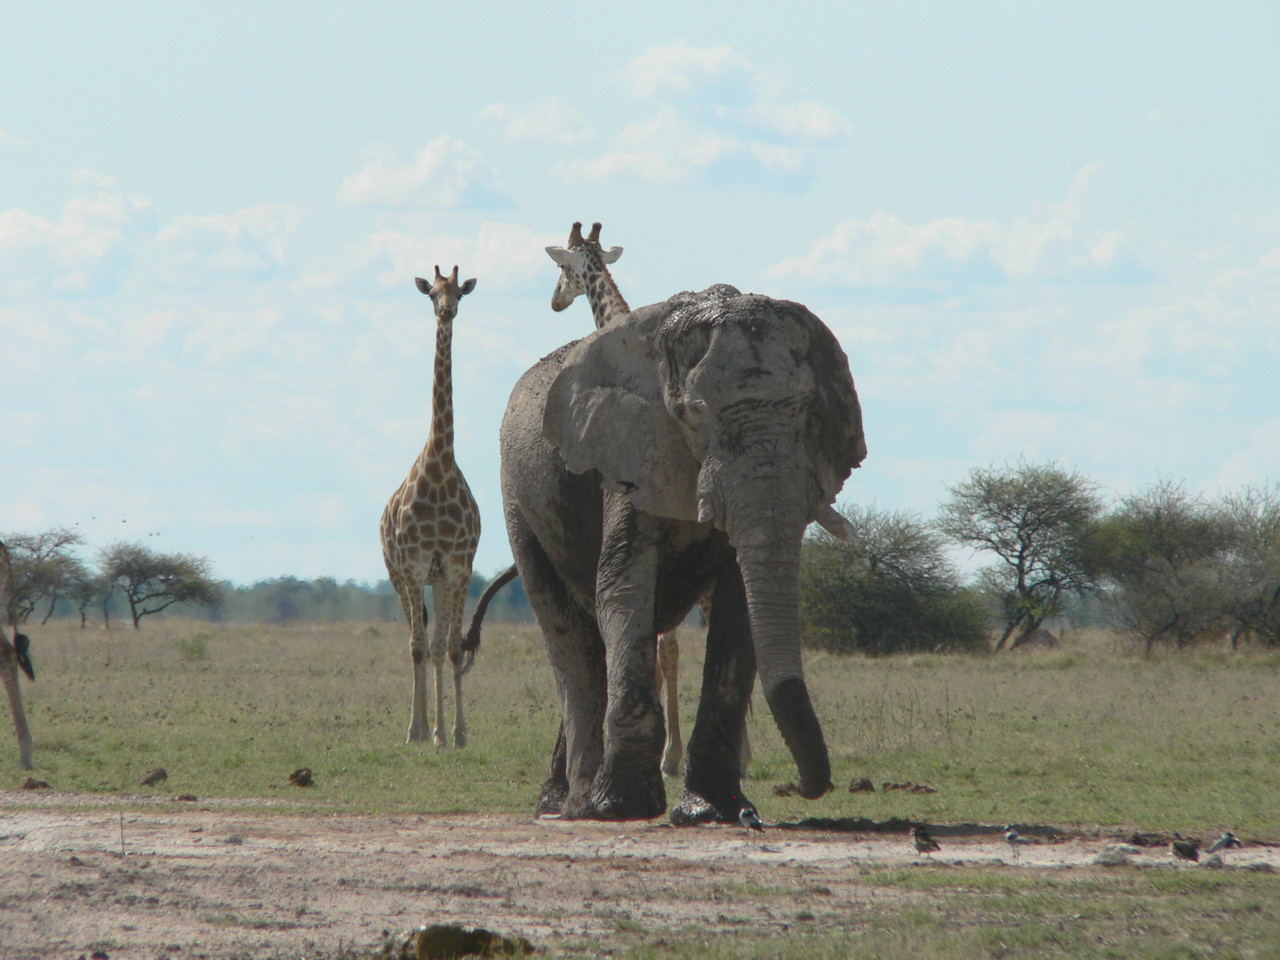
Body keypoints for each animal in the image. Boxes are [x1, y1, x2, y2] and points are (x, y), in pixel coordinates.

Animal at [494, 281, 865, 824]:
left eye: (804, 407)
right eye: (694, 411)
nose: (800, 788)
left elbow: (740, 605)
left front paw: (713, 810)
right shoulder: (627, 452)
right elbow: (623, 585)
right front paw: (623, 806)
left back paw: (564, 798)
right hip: (516, 497)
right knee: (564, 627)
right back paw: (575, 804)